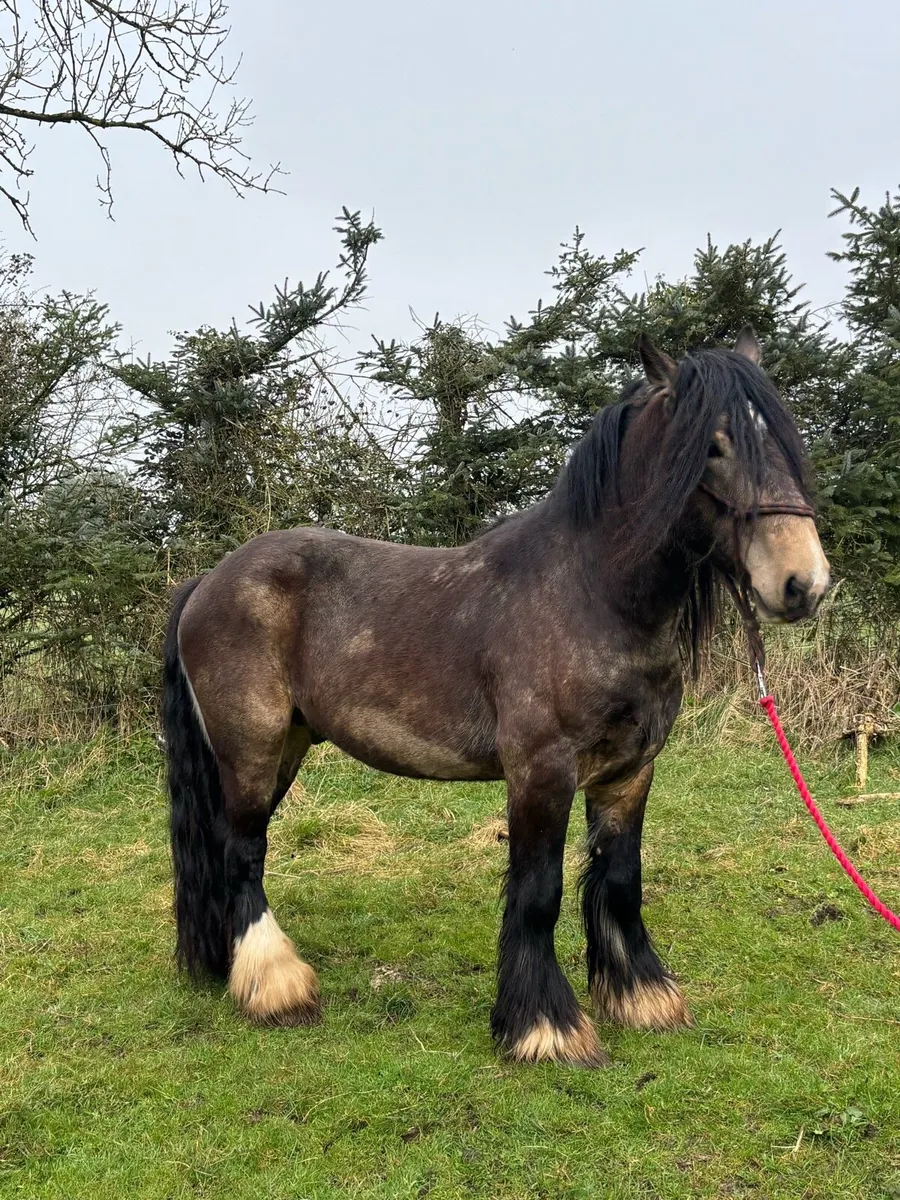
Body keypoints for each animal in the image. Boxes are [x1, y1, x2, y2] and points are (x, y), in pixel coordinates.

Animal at [161, 327, 830, 1067]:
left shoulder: (631, 771)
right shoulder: (541, 771)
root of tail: (208, 581)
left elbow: (621, 880)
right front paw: (545, 1027)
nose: (803, 581)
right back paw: (276, 987)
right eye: (711, 445)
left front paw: (640, 997)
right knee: (241, 852)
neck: (591, 593)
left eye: (786, 438)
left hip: (286, 748)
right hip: (251, 748)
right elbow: (538, 892)